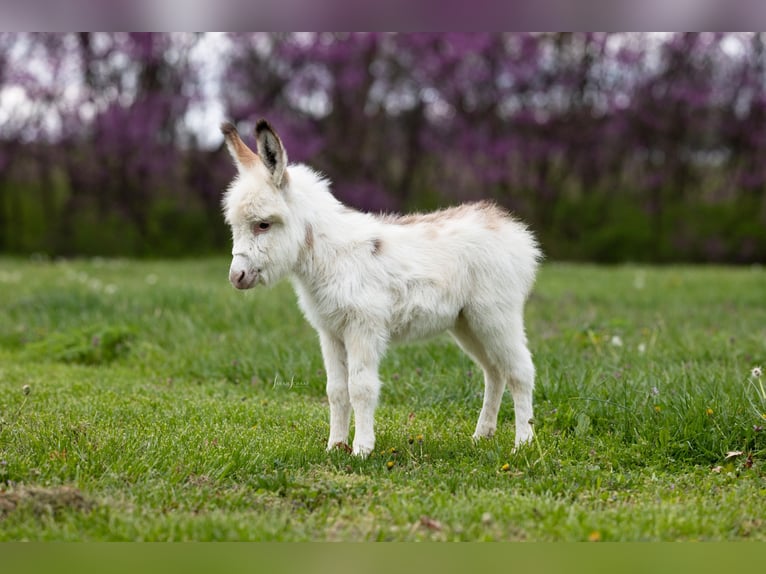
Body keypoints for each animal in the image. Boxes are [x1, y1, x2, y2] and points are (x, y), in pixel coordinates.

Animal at [222, 119, 544, 456]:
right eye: (234, 226)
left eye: (263, 224)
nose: (236, 277)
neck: (329, 255)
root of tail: (509, 227)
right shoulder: (330, 332)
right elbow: (336, 390)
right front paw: (335, 446)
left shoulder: (363, 327)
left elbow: (360, 387)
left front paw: (362, 450)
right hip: (466, 323)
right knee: (494, 372)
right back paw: (482, 435)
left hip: (496, 316)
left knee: (520, 371)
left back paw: (523, 444)